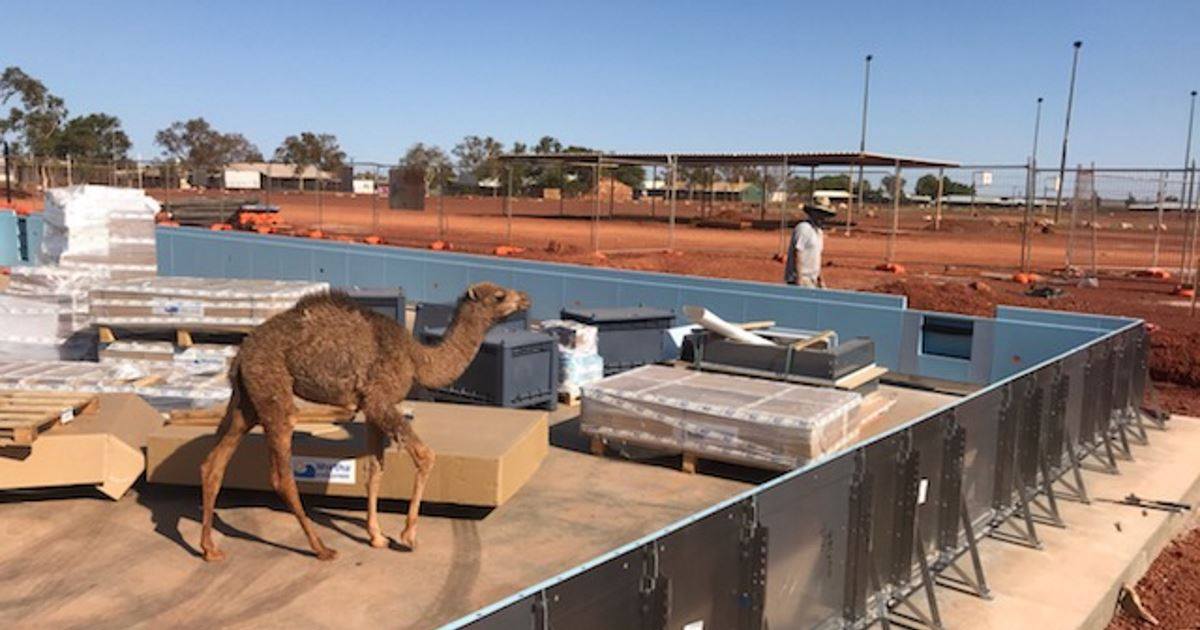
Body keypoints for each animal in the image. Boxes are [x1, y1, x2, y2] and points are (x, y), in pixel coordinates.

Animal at [199, 281, 530, 562]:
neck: (417, 358)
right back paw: (321, 548)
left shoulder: (370, 408)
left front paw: (377, 536)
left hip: (246, 401)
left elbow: (374, 469)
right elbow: (424, 455)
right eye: (499, 296)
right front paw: (408, 536)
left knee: (214, 463)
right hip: (273, 391)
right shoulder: (381, 399)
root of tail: (241, 355)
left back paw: (209, 549)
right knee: (282, 475)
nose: (526, 298)